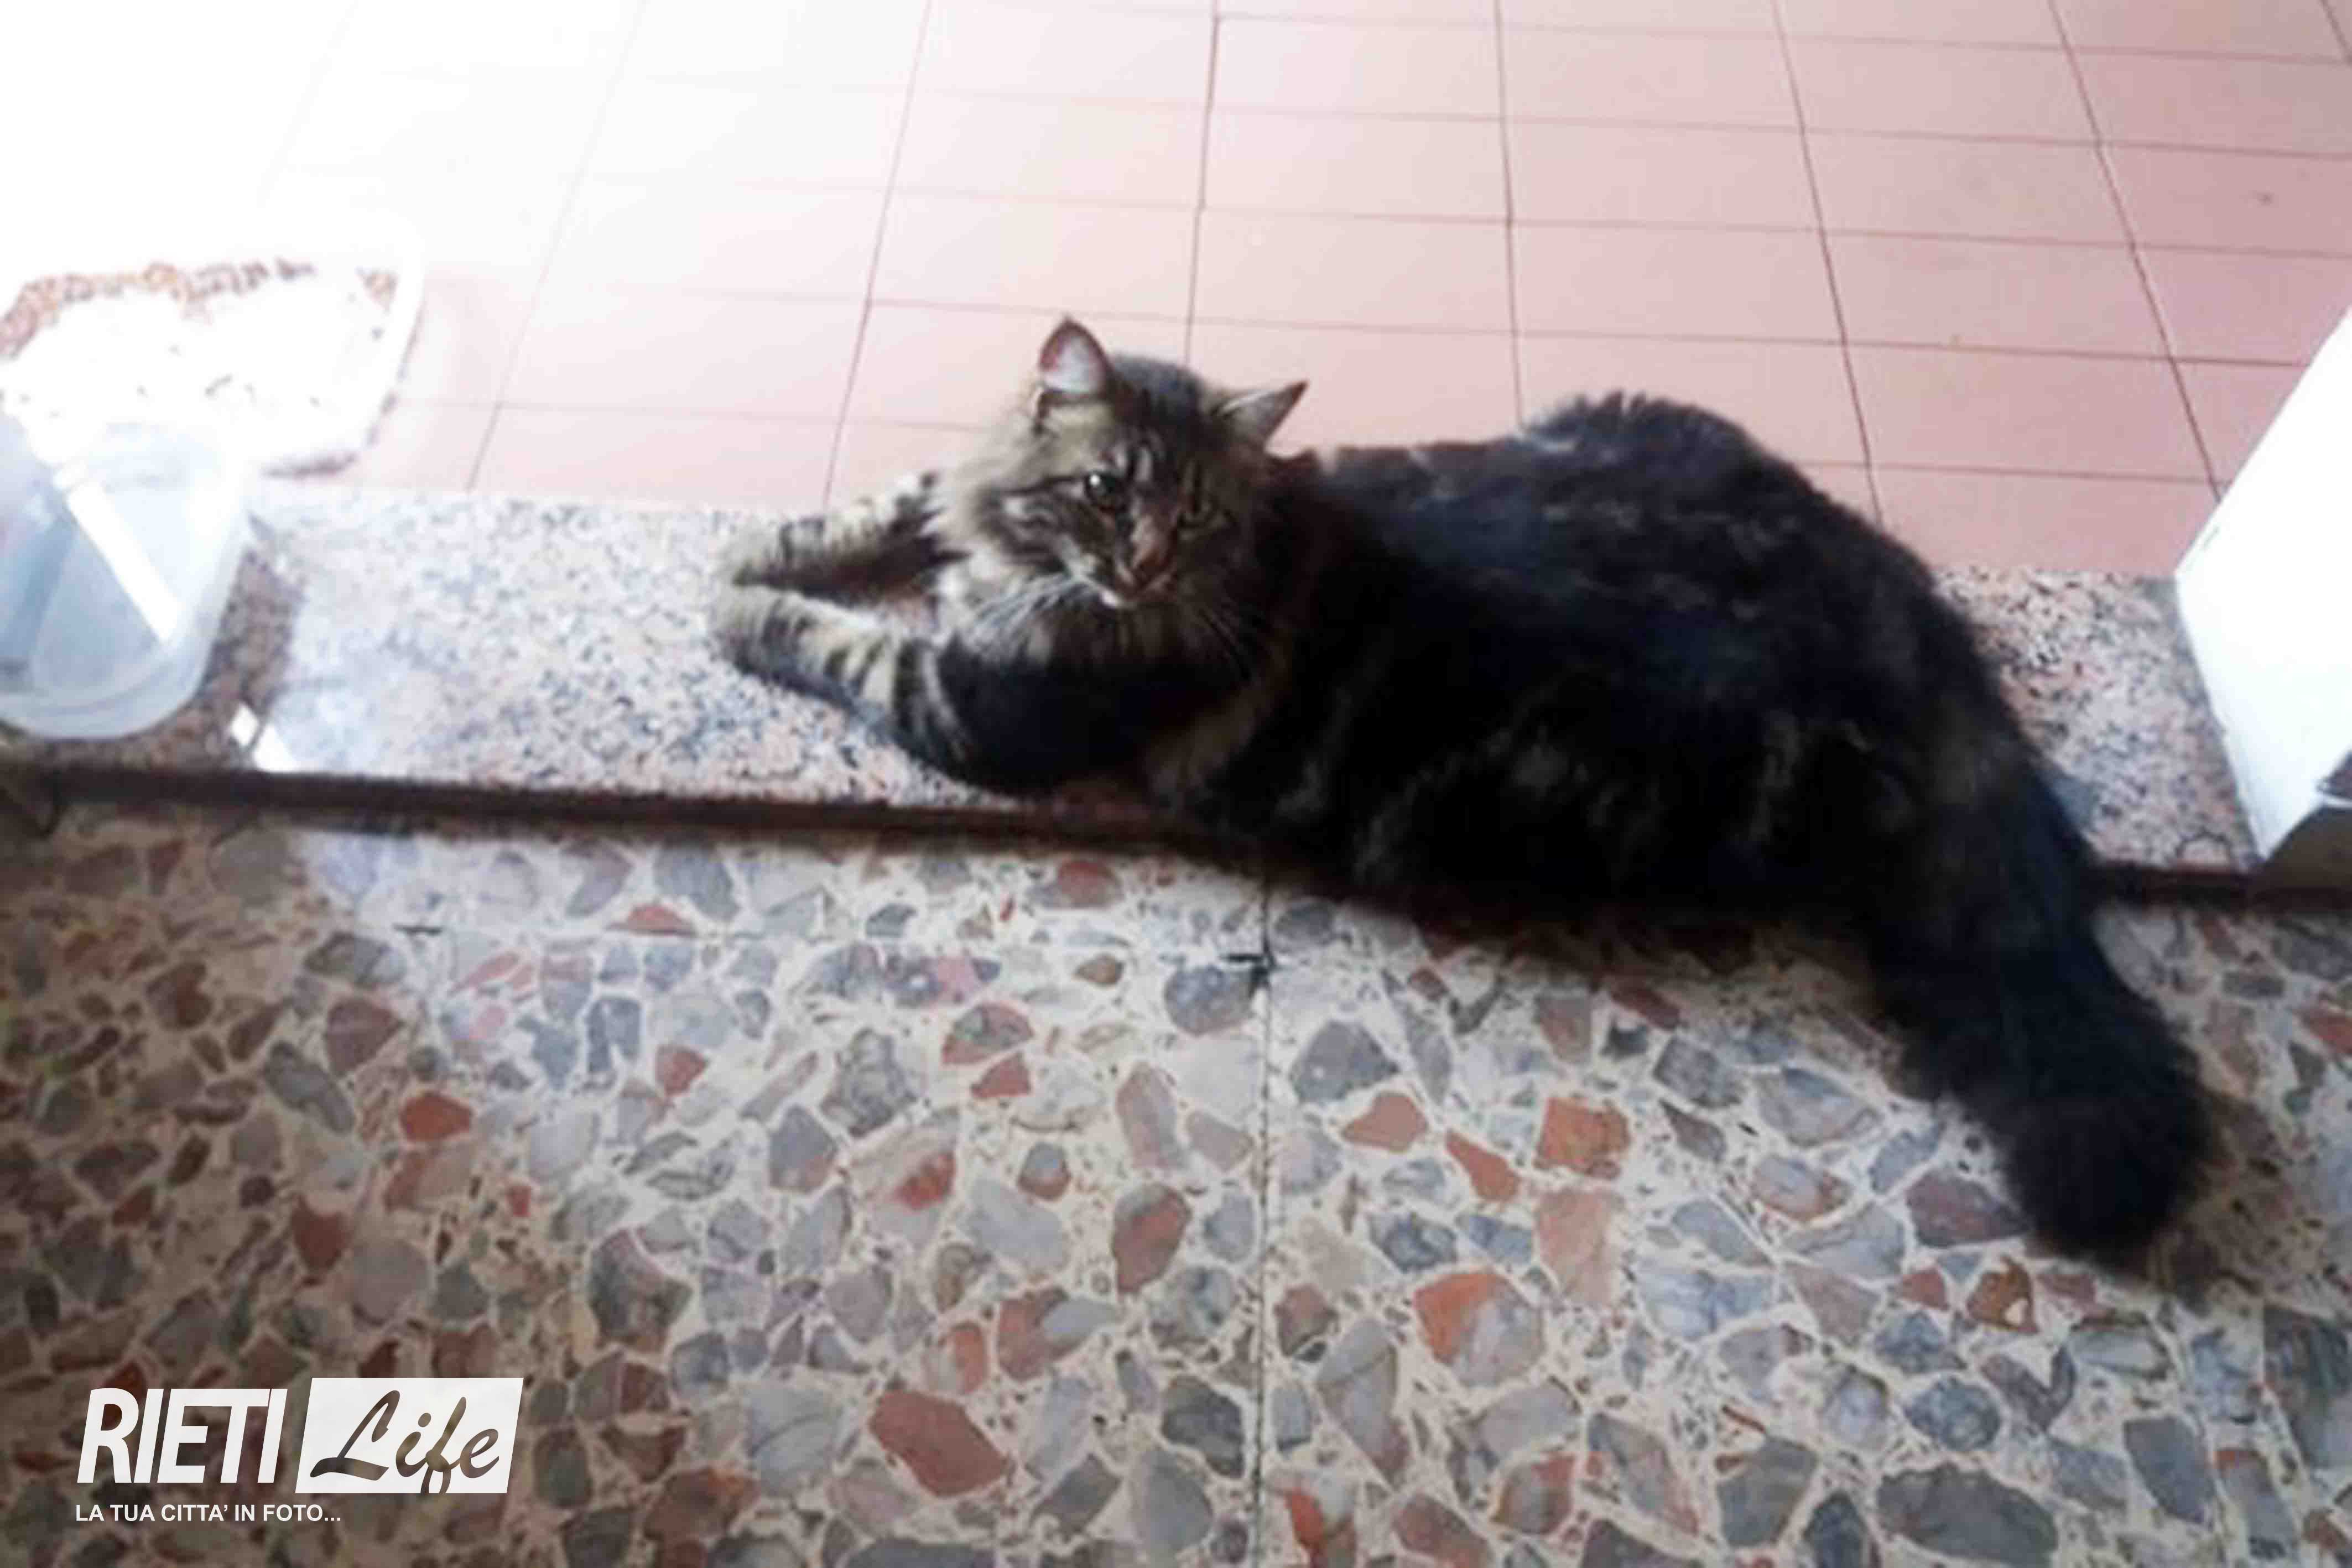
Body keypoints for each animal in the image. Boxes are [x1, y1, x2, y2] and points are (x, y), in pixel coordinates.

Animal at [713, 317, 2211, 1259]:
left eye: (1191, 518)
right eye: (1101, 489)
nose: (1139, 570)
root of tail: (1895, 607)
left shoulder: (975, 707)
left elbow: (835, 638)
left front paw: (735, 603)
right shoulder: (960, 516)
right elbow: (891, 502)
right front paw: (775, 539)